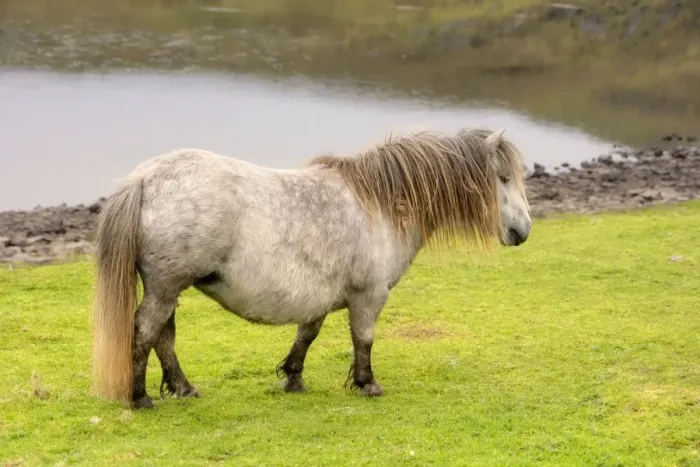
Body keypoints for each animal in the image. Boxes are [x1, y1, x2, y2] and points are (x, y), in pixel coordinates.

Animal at [90, 126, 532, 409]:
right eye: (503, 178)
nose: (523, 231)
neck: (380, 205)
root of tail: (145, 178)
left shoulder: (318, 294)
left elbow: (307, 334)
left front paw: (293, 378)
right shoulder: (369, 296)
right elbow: (363, 339)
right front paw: (367, 384)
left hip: (167, 287)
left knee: (163, 336)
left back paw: (183, 389)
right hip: (166, 286)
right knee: (146, 332)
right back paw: (140, 398)